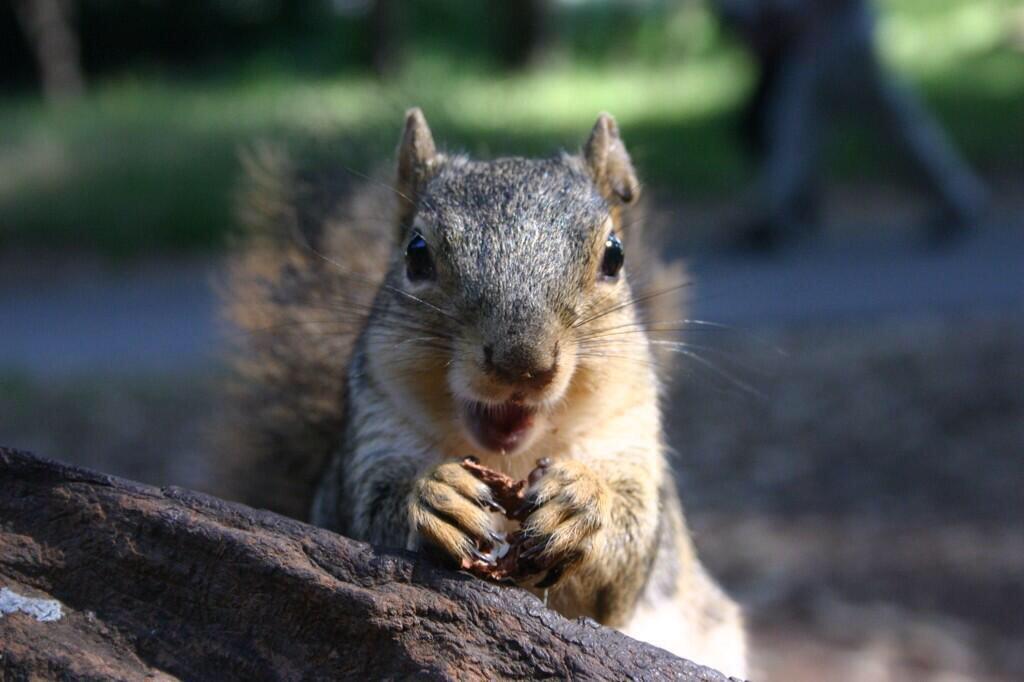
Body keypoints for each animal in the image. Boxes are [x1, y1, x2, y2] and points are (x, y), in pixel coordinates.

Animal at [214, 109, 747, 677]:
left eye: (614, 256)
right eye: (416, 254)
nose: (522, 363)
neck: (511, 458)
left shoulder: (630, 436)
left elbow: (624, 562)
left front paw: (580, 503)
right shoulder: (372, 437)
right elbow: (368, 515)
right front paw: (435, 497)